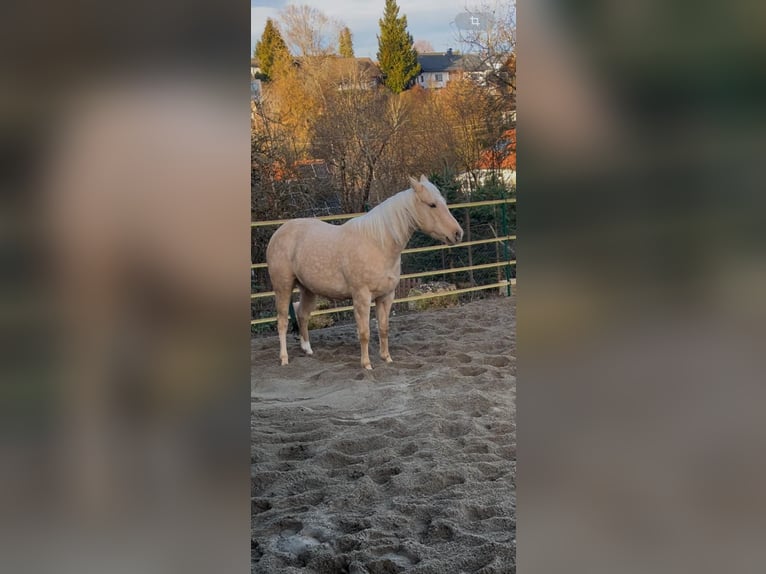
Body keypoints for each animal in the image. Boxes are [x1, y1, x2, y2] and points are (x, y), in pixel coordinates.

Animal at [266, 175, 464, 370]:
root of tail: (279, 232)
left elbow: (383, 329)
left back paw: (307, 349)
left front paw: (386, 358)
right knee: (282, 322)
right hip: (283, 287)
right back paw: (284, 358)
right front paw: (367, 364)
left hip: (308, 289)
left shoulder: (386, 296)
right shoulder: (362, 297)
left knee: (302, 316)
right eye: (432, 205)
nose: (457, 234)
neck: (378, 244)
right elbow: (364, 332)